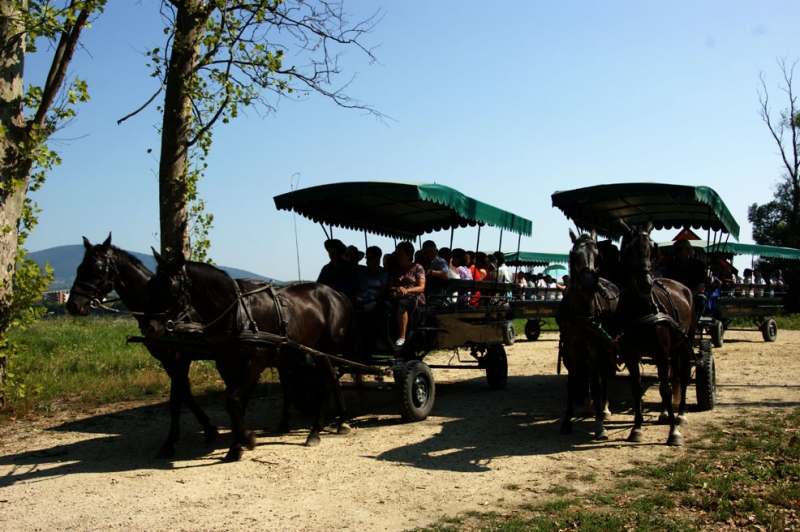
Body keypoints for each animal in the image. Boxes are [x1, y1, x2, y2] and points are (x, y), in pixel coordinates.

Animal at [66, 235, 219, 460]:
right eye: (79, 267)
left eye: (98, 268)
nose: (73, 305)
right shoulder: (168, 361)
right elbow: (186, 395)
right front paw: (209, 429)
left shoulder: (179, 358)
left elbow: (176, 399)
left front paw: (170, 442)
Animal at [142, 249, 360, 462]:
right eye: (151, 284)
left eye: (172, 287)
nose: (150, 327)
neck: (237, 315)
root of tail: (335, 294)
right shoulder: (226, 365)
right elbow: (236, 402)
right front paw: (237, 444)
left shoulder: (255, 362)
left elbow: (233, 401)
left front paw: (245, 439)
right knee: (327, 379)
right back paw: (339, 421)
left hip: (326, 349)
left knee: (327, 382)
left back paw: (316, 431)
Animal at [560, 227, 620, 438]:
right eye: (574, 255)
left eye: (597, 255)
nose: (588, 285)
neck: (582, 312)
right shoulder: (571, 349)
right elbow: (572, 384)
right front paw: (567, 422)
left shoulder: (595, 348)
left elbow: (596, 384)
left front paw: (599, 425)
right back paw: (588, 406)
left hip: (605, 348)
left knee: (601, 377)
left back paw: (604, 408)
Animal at [616, 219, 696, 444]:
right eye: (629, 249)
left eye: (653, 249)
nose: (646, 284)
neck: (641, 309)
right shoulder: (631, 355)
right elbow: (637, 388)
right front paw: (636, 428)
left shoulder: (660, 352)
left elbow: (667, 390)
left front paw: (673, 432)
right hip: (673, 350)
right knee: (669, 376)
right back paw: (664, 413)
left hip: (686, 342)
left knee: (682, 376)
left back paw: (680, 415)